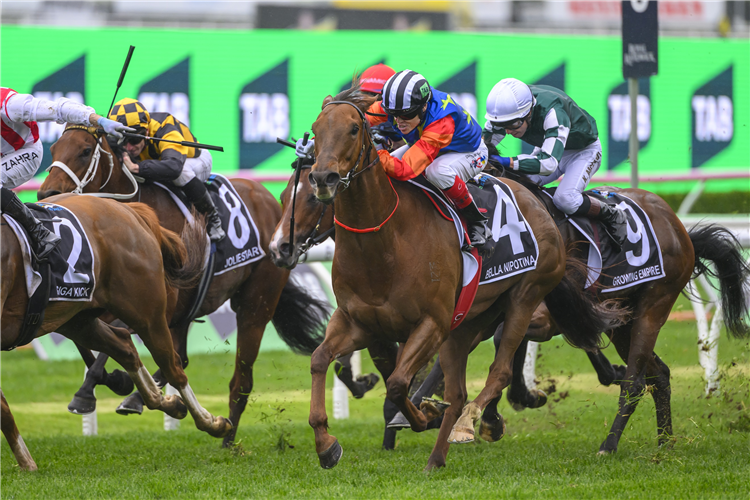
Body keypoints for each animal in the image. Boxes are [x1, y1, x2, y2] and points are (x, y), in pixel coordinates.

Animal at [0, 194, 232, 468]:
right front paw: (27, 464)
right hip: (76, 320)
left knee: (173, 366)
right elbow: (3, 408)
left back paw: (210, 422)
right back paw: (163, 401)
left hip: (146, 312)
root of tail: (129, 209)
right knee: (125, 346)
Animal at [36, 127, 328, 448]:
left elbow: (117, 337)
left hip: (255, 306)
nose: (47, 194)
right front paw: (106, 384)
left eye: (85, 151)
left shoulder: (150, 302)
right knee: (181, 357)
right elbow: (88, 343)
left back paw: (227, 437)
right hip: (188, 308)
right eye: (54, 149)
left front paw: (97, 391)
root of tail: (272, 202)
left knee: (240, 378)